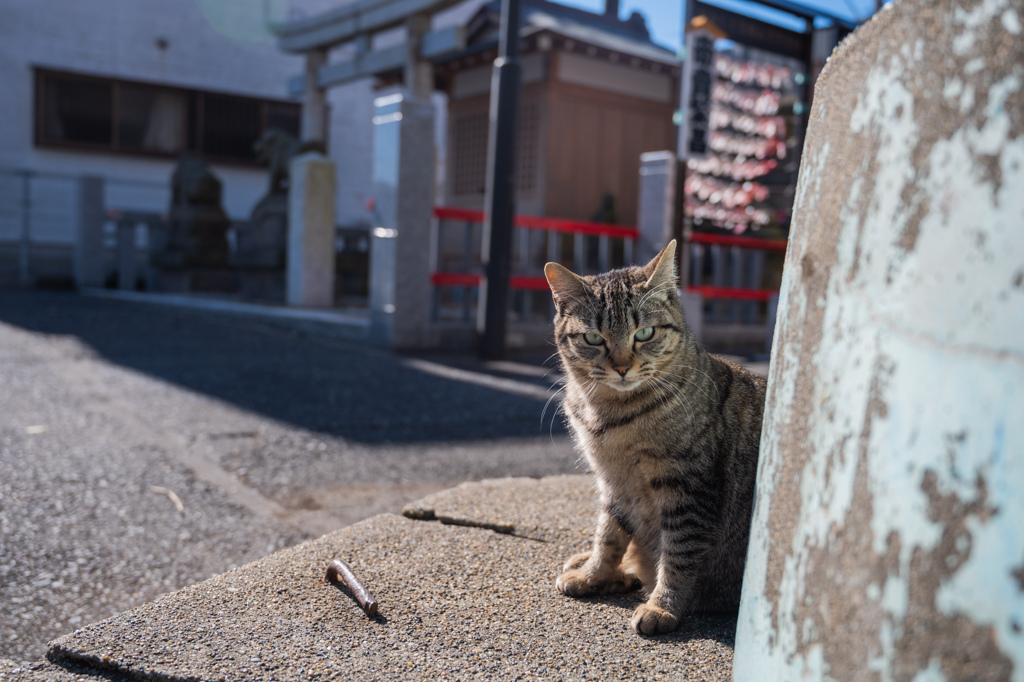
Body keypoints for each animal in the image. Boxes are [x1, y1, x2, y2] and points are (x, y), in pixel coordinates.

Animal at [548, 240, 765, 630]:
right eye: (593, 338)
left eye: (644, 334)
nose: (621, 367)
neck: (611, 415)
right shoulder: (613, 483)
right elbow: (609, 535)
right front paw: (593, 575)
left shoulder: (688, 487)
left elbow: (679, 553)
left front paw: (663, 606)